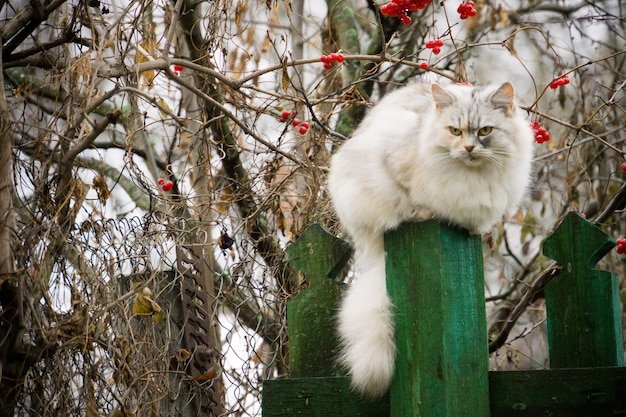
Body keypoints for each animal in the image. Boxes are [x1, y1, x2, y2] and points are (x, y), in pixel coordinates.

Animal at [326, 80, 532, 396]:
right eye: (455, 131)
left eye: (485, 131)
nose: (469, 148)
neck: (473, 176)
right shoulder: (392, 162)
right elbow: (411, 201)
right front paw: (424, 213)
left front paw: (471, 228)